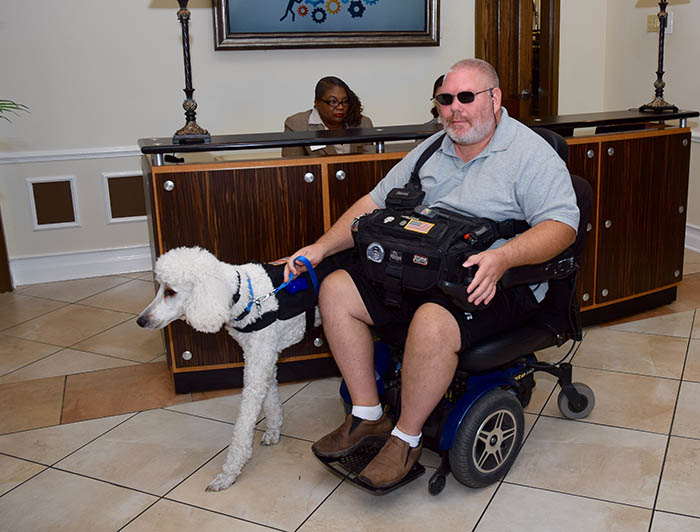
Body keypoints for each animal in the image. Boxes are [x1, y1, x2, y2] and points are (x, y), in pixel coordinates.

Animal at [137, 246, 341, 491]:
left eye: (171, 291)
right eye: (160, 288)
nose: (140, 320)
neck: (245, 297)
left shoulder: (257, 365)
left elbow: (243, 425)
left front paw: (229, 473)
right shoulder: (263, 358)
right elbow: (270, 399)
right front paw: (273, 430)